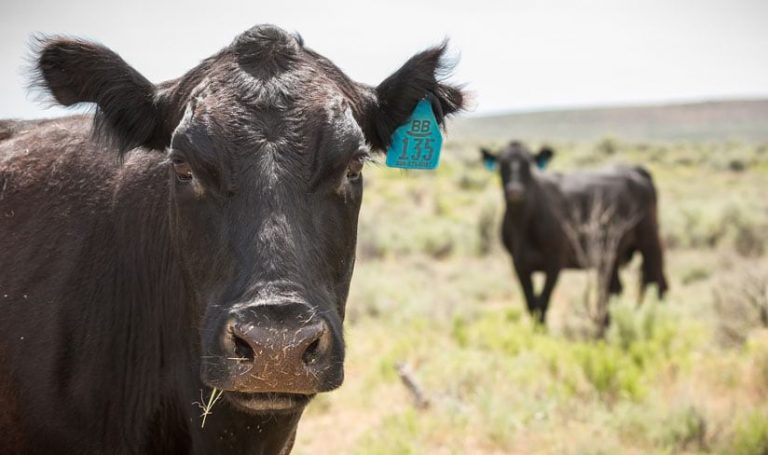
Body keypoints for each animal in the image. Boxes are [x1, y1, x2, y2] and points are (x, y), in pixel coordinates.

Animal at [481, 141, 668, 324]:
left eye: (528, 165)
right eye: (502, 165)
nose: (515, 191)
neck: (523, 222)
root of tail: (636, 170)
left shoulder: (555, 263)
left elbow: (543, 302)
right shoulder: (519, 264)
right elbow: (531, 304)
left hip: (650, 242)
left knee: (657, 284)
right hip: (611, 255)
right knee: (613, 290)